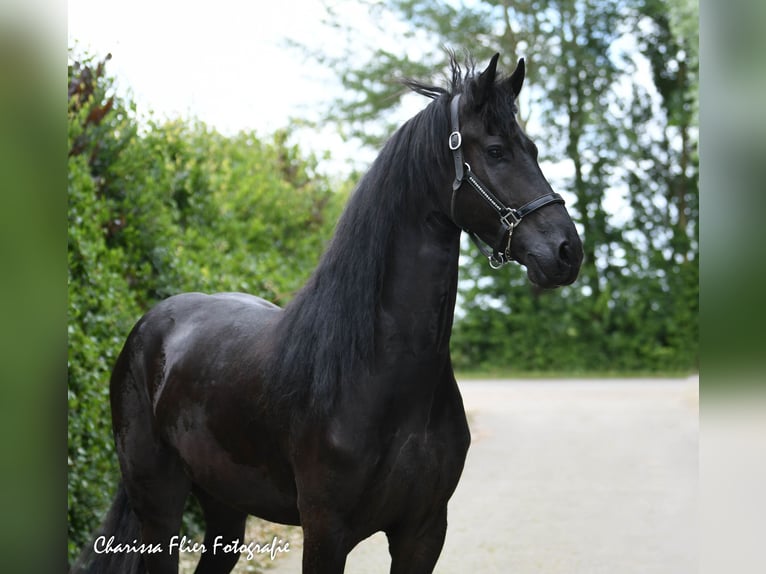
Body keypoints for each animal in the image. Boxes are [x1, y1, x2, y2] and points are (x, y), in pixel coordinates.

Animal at [73, 54, 584, 574]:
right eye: (497, 151)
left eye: (533, 149)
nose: (568, 251)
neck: (380, 373)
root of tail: (150, 324)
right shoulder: (325, 531)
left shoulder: (423, 531)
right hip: (159, 503)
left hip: (225, 508)